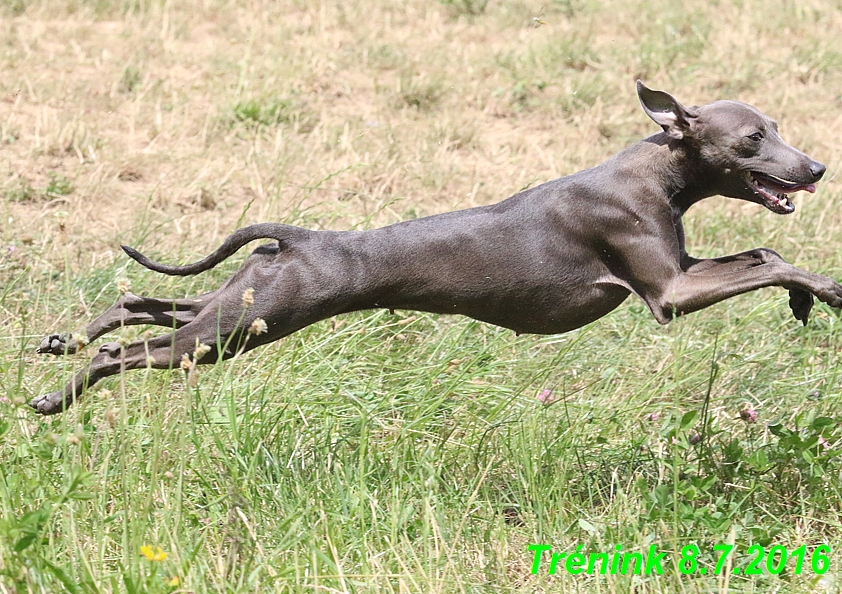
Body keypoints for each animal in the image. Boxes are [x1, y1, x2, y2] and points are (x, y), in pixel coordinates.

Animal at [31, 81, 832, 414]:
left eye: (777, 128)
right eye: (752, 139)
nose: (817, 169)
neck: (655, 168)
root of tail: (296, 237)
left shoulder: (682, 274)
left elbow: (762, 258)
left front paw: (806, 297)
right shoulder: (670, 295)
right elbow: (768, 258)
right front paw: (825, 291)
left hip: (241, 308)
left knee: (142, 301)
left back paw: (66, 339)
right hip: (236, 332)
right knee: (127, 351)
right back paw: (54, 396)